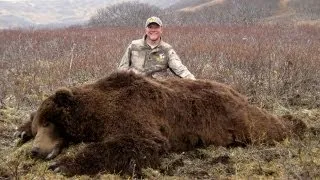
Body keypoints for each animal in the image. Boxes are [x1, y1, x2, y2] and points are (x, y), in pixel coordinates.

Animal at [13, 71, 306, 176]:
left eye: (51, 123)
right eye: (39, 124)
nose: (36, 151)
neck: (97, 112)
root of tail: (236, 91)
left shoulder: (132, 114)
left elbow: (141, 142)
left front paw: (64, 164)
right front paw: (20, 131)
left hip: (237, 117)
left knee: (267, 126)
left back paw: (299, 124)